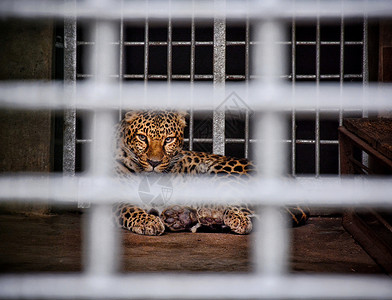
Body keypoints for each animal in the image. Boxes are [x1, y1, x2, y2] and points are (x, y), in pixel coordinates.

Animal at [112, 109, 308, 236]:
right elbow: (128, 208)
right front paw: (148, 221)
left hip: (221, 173)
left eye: (168, 140)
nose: (154, 163)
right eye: (142, 137)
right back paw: (179, 217)